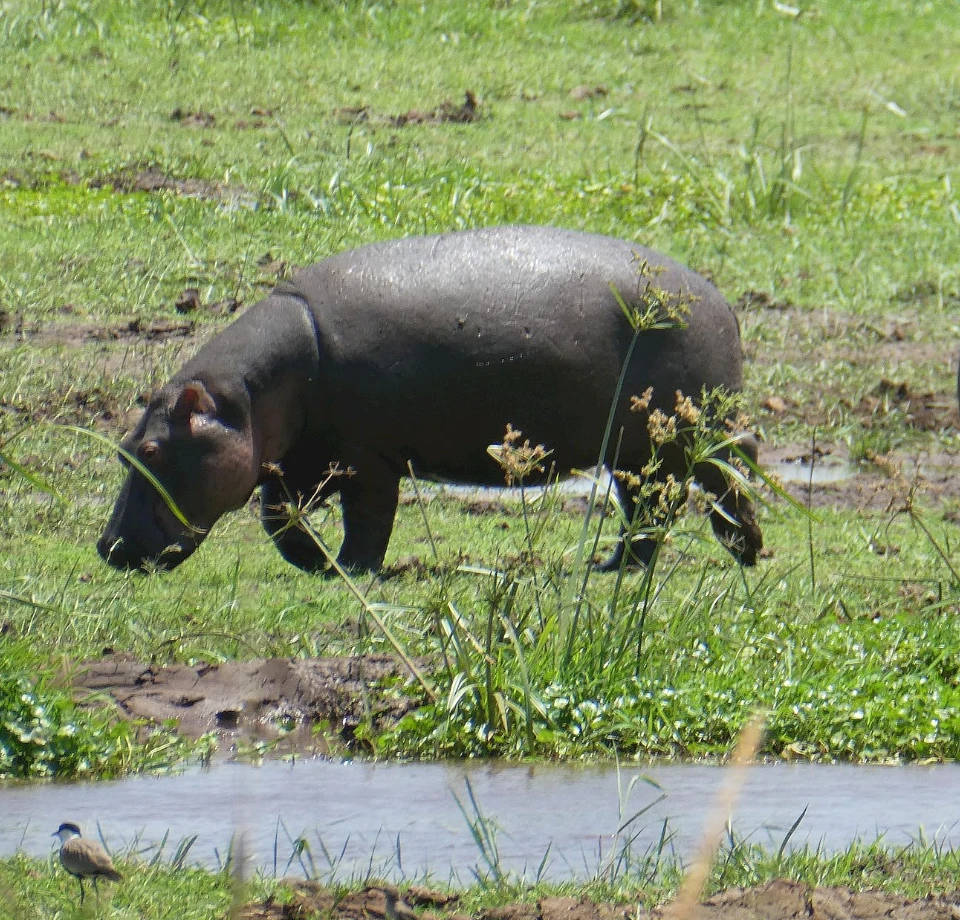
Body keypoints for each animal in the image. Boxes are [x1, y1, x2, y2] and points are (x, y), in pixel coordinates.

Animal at [98, 225, 762, 574]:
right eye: (124, 446)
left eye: (152, 451)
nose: (107, 547)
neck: (248, 393)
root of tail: (720, 300)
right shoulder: (294, 460)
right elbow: (278, 518)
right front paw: (319, 564)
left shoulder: (367, 459)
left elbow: (368, 519)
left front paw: (353, 569)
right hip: (641, 449)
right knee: (669, 500)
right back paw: (660, 560)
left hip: (674, 437)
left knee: (696, 489)